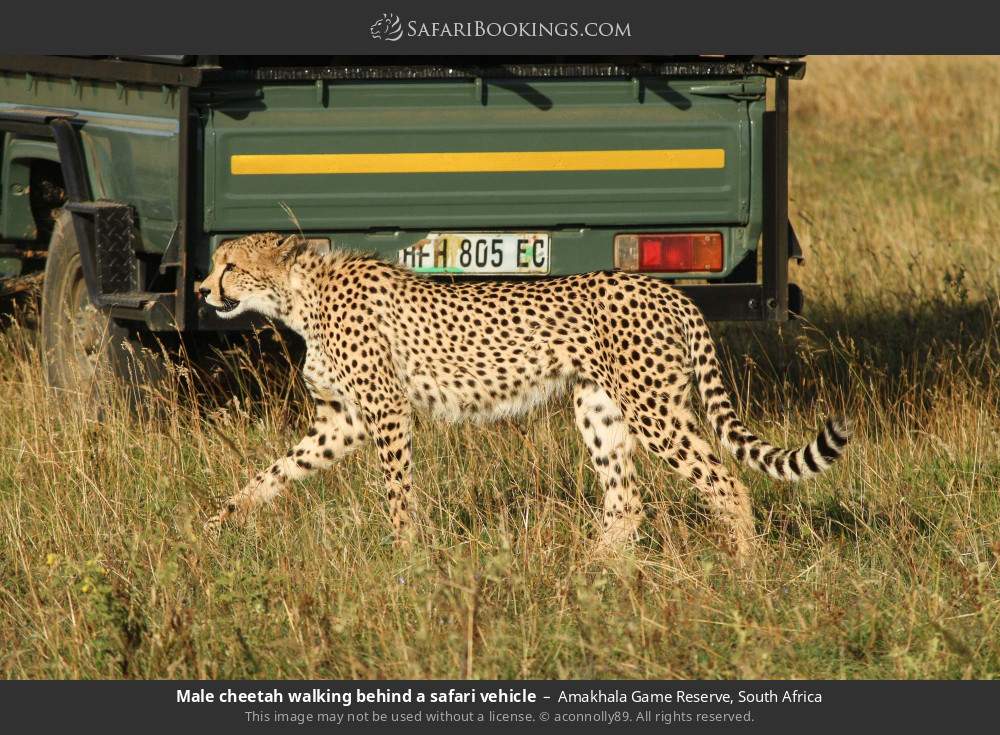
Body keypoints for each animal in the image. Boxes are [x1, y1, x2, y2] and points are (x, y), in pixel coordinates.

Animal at [199, 232, 850, 558]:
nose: (204, 289)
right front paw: (219, 521)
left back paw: (746, 573)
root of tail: (670, 291)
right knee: (625, 500)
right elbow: (276, 471)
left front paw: (403, 557)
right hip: (598, 408)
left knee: (725, 482)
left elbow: (397, 492)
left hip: (653, 408)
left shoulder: (386, 411)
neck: (299, 296)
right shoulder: (344, 421)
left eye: (230, 265)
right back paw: (589, 578)